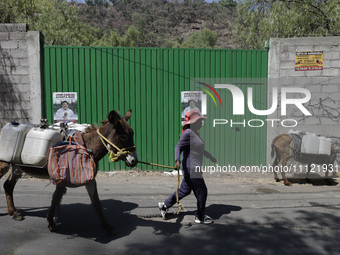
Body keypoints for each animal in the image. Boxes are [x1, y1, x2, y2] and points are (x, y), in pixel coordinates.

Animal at [0, 109, 137, 235]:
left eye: (132, 134)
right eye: (123, 136)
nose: (134, 160)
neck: (86, 146)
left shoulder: (90, 179)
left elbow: (96, 203)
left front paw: (107, 227)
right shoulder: (62, 177)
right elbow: (56, 198)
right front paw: (51, 222)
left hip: (17, 167)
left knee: (8, 186)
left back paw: (14, 213)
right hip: (4, 164)